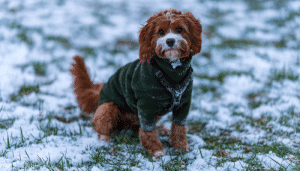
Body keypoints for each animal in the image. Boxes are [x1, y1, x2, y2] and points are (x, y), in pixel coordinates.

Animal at [70, 9, 202, 156]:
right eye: (161, 32)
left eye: (180, 29)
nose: (170, 41)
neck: (171, 72)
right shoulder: (146, 104)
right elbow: (148, 130)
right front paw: (156, 150)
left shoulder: (184, 103)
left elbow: (179, 126)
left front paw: (181, 146)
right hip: (108, 107)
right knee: (102, 125)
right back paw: (103, 139)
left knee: (138, 127)